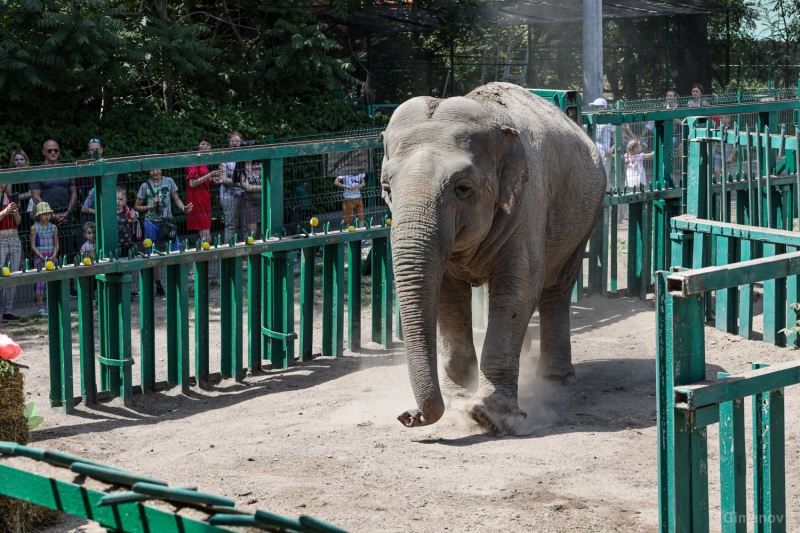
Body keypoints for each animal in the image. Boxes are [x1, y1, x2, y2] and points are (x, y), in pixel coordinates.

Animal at [382, 81, 608, 434]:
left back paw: (556, 380)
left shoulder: (528, 200)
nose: (409, 416)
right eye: (387, 189)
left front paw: (487, 414)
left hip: (586, 215)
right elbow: (448, 297)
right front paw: (459, 398)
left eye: (462, 188)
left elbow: (519, 287)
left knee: (555, 290)